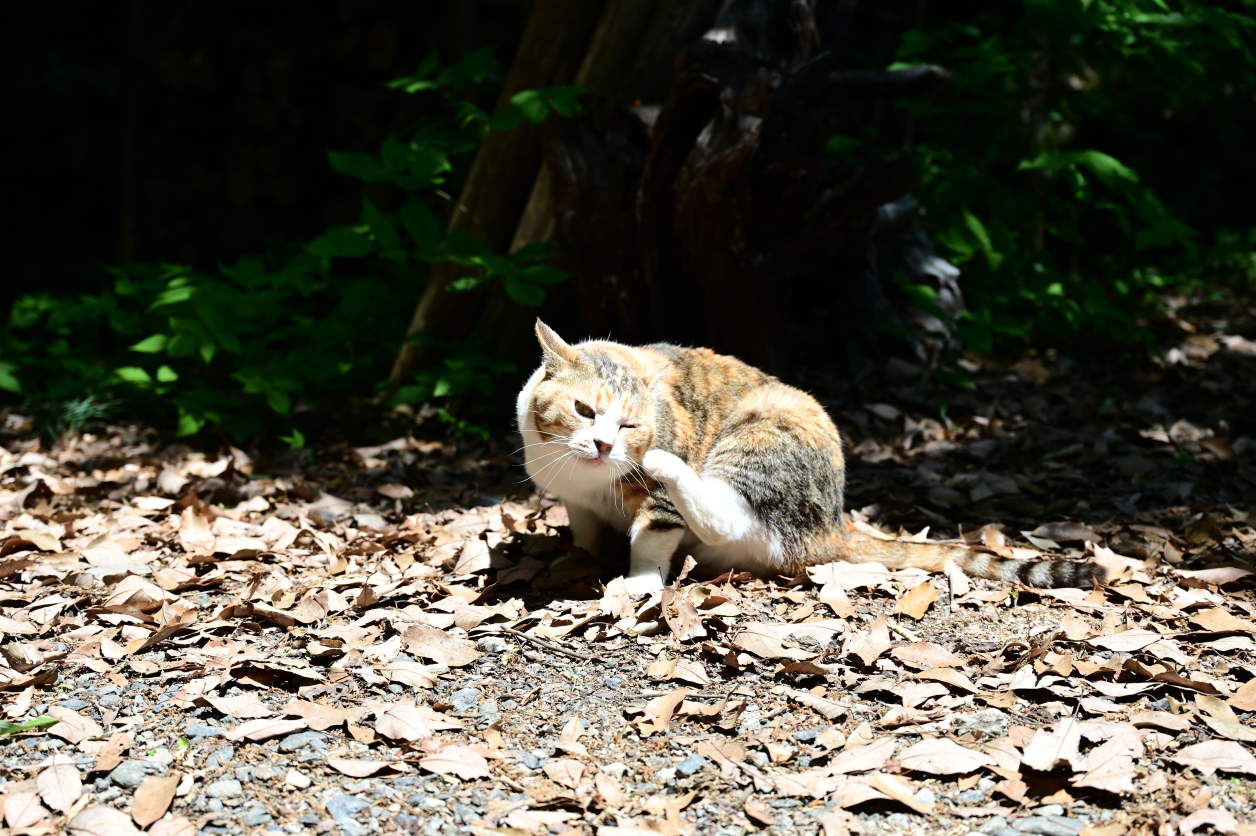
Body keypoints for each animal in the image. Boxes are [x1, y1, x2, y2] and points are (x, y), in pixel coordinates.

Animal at [514, 317, 1105, 592]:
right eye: (585, 410)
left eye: (630, 424)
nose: (604, 444)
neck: (590, 481)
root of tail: (835, 522)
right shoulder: (578, 501)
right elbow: (586, 531)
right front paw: (579, 557)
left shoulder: (657, 501)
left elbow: (652, 537)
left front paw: (636, 582)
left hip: (765, 429)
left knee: (725, 518)